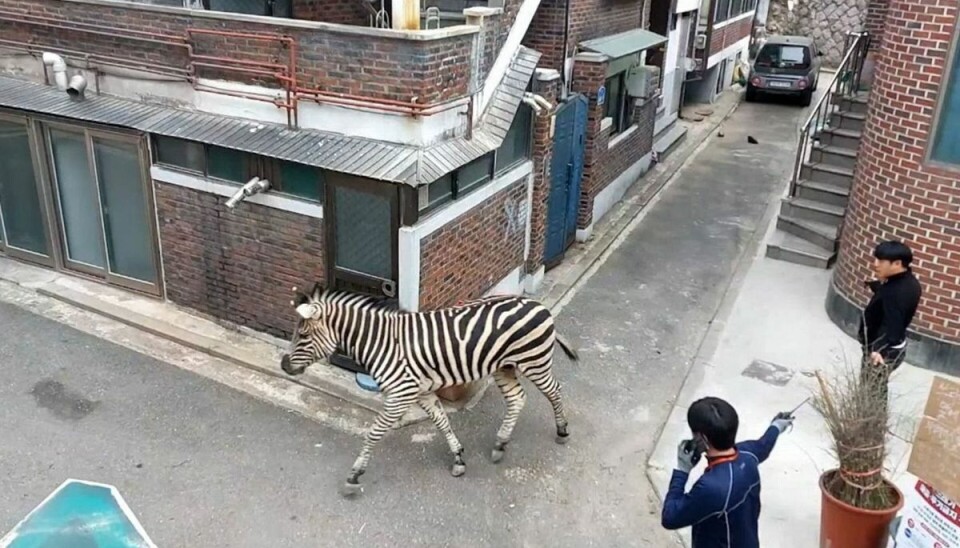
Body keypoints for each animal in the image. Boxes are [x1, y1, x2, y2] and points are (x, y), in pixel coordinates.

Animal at [278, 282, 576, 496]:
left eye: (303, 335)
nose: (283, 364)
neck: (381, 342)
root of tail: (536, 303)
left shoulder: (400, 394)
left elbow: (374, 433)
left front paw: (354, 475)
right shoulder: (421, 392)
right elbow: (442, 422)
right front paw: (458, 458)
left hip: (534, 361)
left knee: (555, 390)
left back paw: (562, 431)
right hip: (505, 366)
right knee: (517, 399)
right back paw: (500, 443)